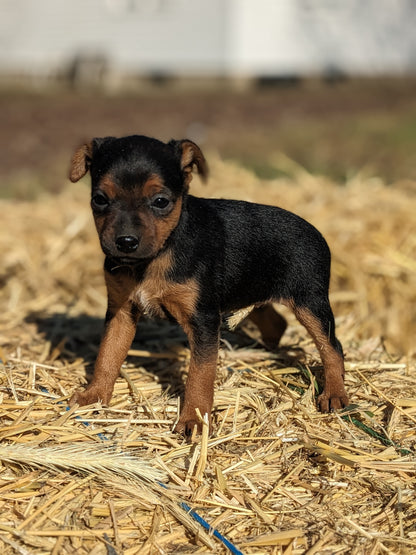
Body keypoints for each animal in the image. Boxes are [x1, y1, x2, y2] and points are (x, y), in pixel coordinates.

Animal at [70, 135, 350, 434]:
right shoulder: (120, 312)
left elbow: (200, 374)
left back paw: (334, 394)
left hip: (310, 303)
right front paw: (93, 396)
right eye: (99, 199)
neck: (159, 253)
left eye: (160, 201)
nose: (125, 242)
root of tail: (317, 233)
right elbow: (107, 354)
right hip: (253, 291)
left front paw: (193, 419)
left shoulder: (203, 320)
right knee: (278, 323)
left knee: (332, 347)